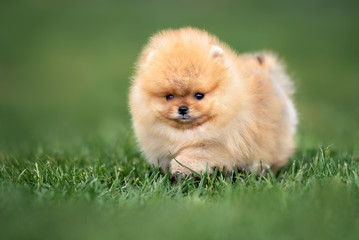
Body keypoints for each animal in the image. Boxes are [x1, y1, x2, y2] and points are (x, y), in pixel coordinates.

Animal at [129, 27, 298, 175]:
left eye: (199, 95)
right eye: (169, 96)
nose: (182, 108)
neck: (186, 133)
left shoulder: (211, 145)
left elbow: (190, 157)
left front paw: (181, 172)